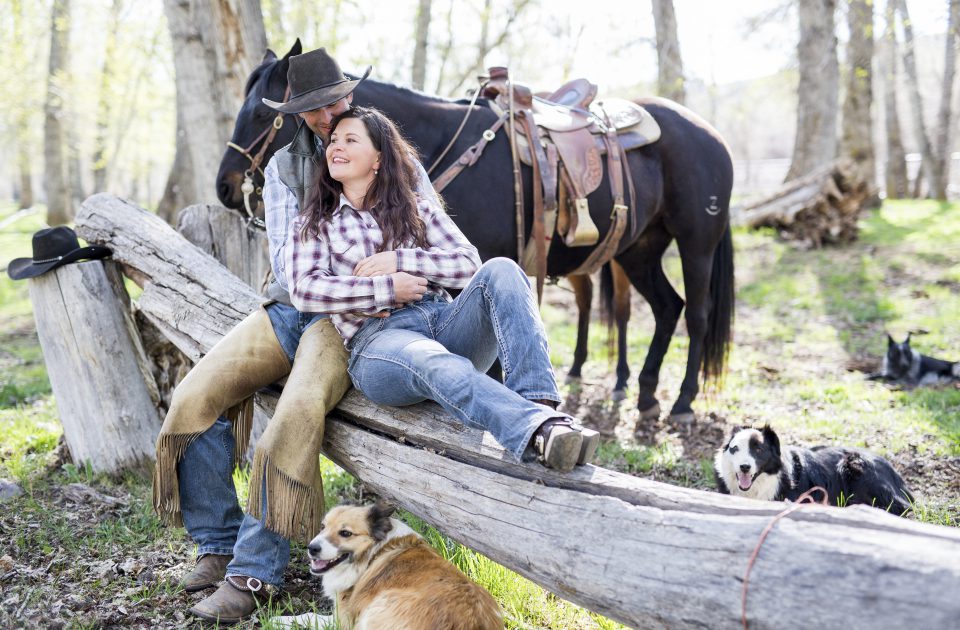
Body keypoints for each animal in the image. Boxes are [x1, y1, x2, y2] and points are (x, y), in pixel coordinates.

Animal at [216, 43, 736, 424]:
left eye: (262, 115)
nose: (224, 186)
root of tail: (710, 133)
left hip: (696, 244)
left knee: (696, 314)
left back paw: (682, 402)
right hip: (639, 250)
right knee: (668, 307)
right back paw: (646, 394)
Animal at [270, 504, 502, 630]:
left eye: (345, 533)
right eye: (323, 526)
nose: (311, 548)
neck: (373, 552)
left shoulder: (343, 620)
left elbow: (311, 615)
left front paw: (279, 620)